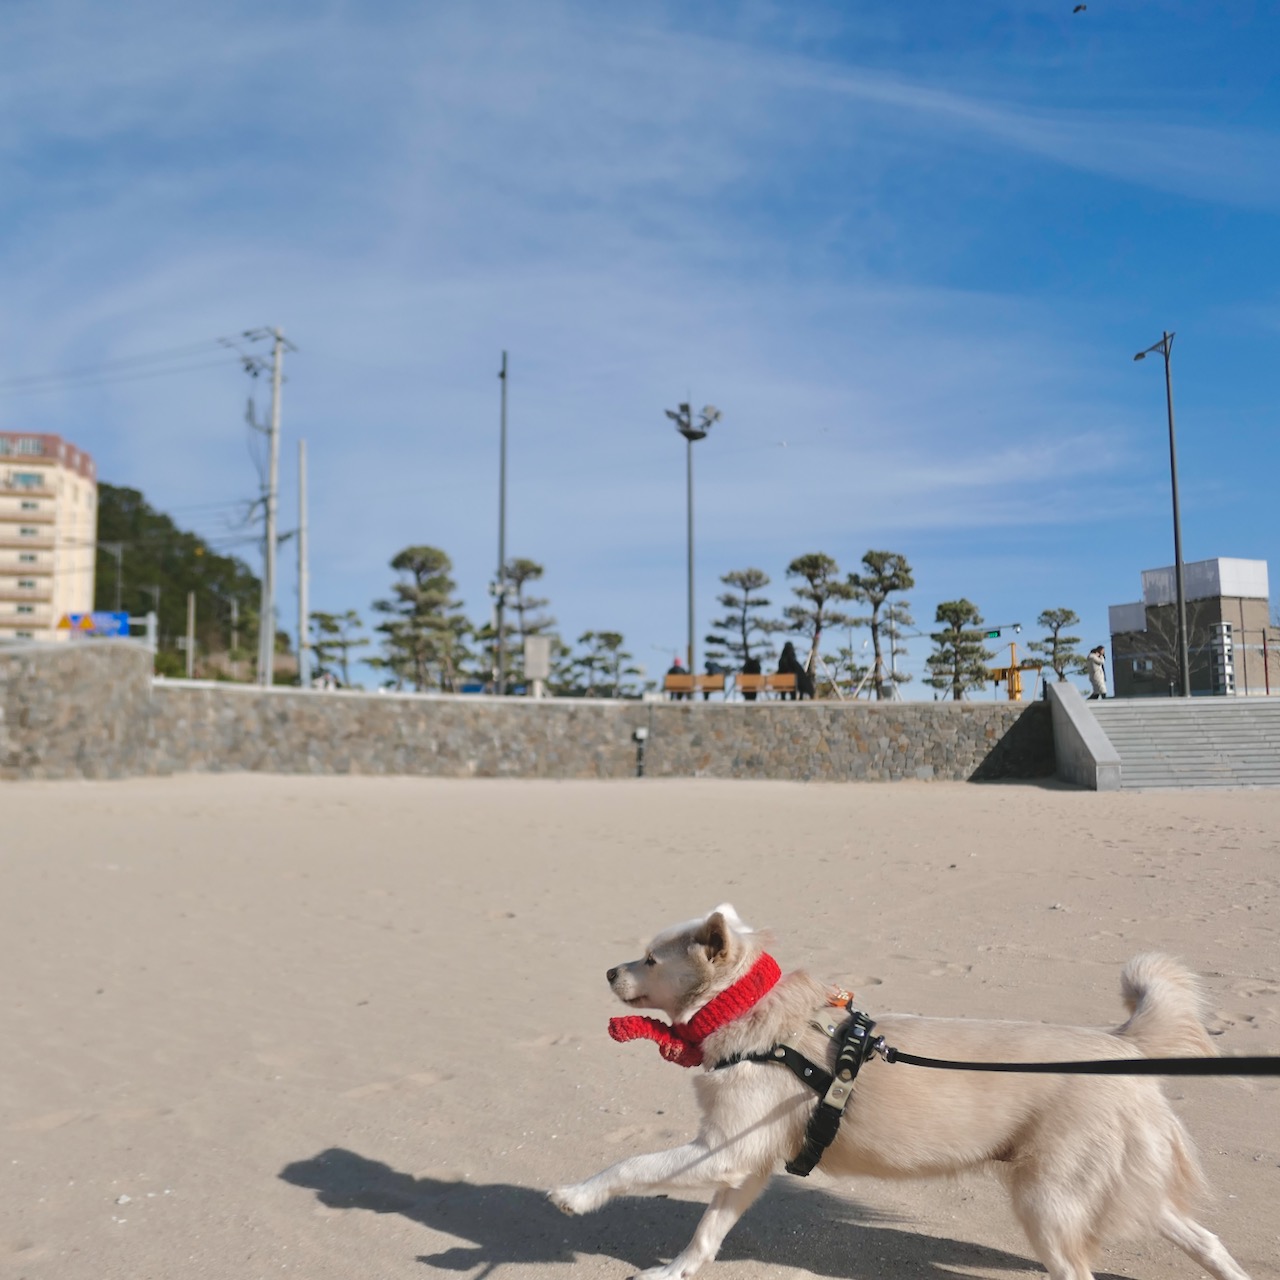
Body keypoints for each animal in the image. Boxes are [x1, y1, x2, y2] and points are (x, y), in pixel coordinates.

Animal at [552, 906, 1249, 1274]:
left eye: (649, 958)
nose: (607, 970)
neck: (756, 1016)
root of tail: (1121, 1045)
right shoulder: (745, 1164)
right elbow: (707, 1231)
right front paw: (677, 1270)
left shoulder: (721, 1150)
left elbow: (632, 1165)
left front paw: (576, 1196)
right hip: (1107, 1189)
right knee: (1204, 1237)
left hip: (1049, 1203)